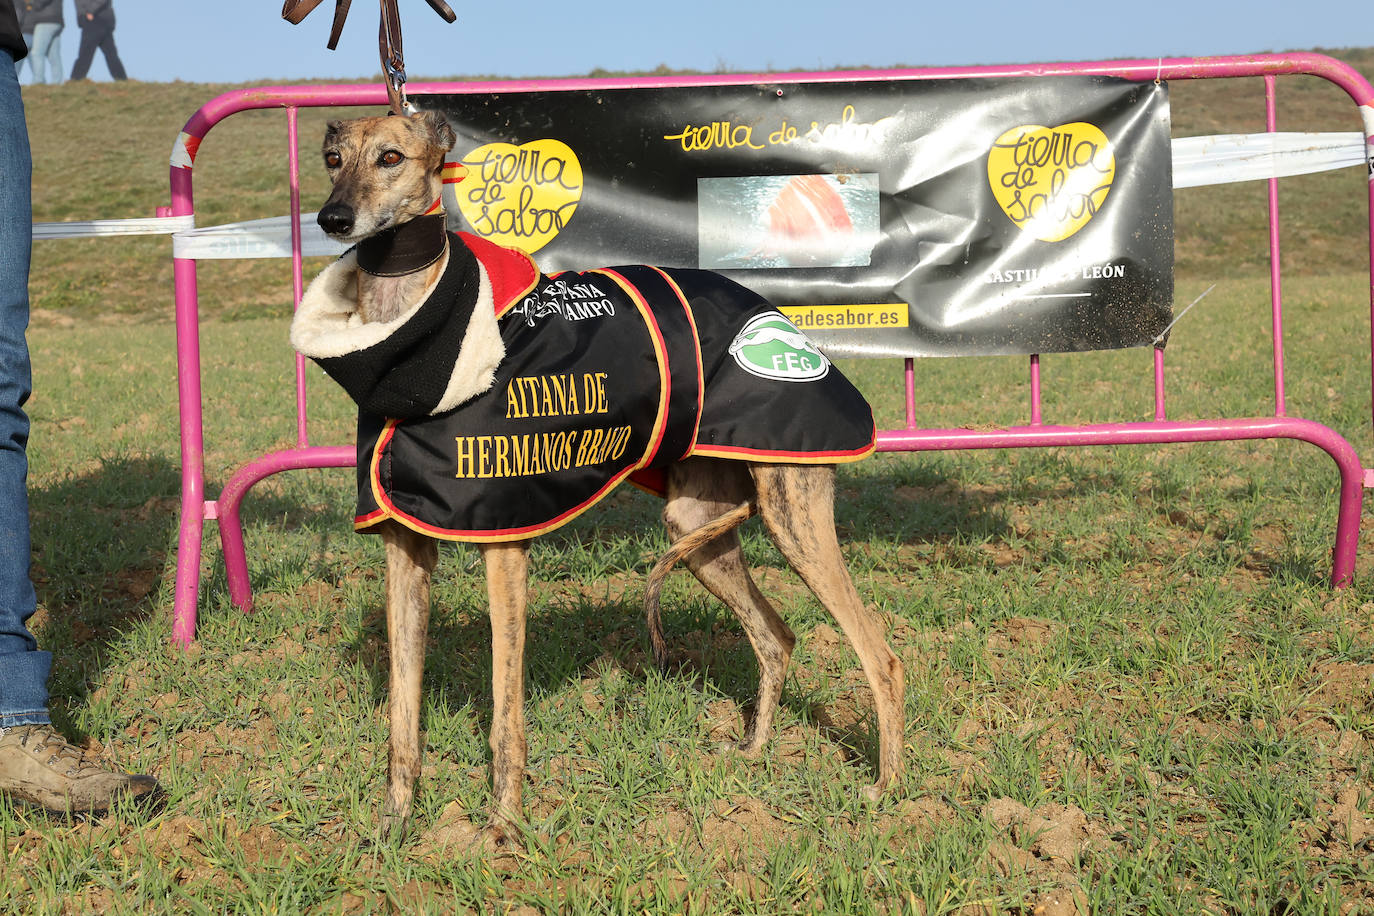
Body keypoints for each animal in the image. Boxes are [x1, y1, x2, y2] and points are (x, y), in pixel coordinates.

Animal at [292, 111, 901, 851]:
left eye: (390, 157)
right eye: (331, 158)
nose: (333, 217)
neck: (411, 344)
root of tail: (778, 318)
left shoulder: (505, 544)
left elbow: (505, 716)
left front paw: (503, 829)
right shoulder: (404, 553)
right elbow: (402, 720)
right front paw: (394, 825)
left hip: (794, 510)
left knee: (880, 656)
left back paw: (884, 788)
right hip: (697, 525)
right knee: (776, 636)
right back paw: (755, 753)